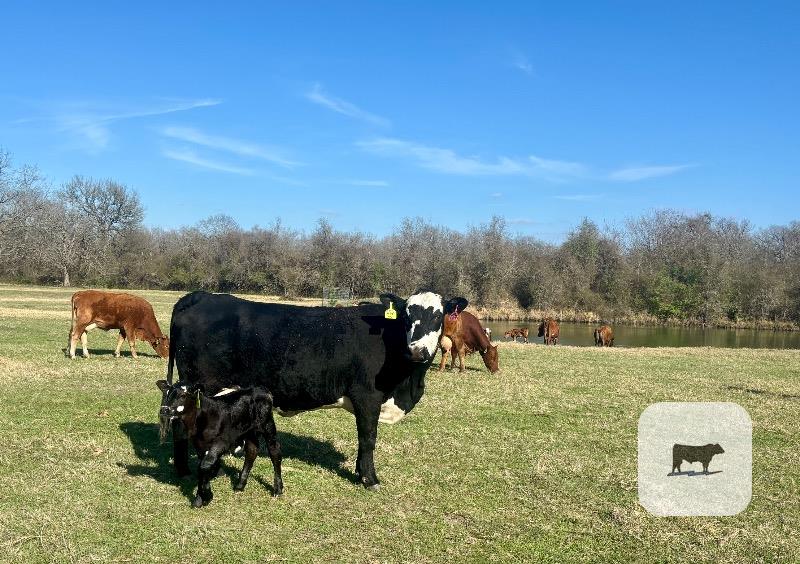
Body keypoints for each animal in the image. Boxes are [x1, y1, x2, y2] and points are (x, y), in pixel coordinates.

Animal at [163, 289, 468, 490]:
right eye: (406, 316)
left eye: (438, 316)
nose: (418, 351)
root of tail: (200, 296)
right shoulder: (367, 397)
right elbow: (368, 438)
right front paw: (370, 479)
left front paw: (359, 472)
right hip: (198, 386)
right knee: (181, 425)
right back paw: (183, 469)